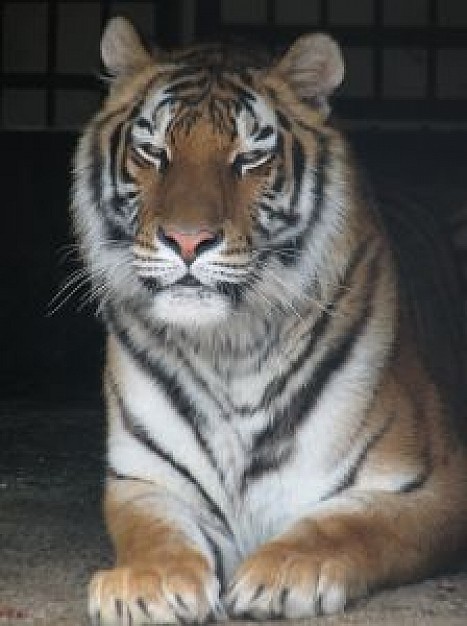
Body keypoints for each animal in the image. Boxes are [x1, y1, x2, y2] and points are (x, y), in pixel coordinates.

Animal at [71, 15, 466, 624]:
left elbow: (353, 526)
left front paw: (288, 572)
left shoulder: (430, 483)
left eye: (250, 158)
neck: (228, 349)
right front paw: (148, 584)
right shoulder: (146, 479)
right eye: (154, 151)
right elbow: (155, 534)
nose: (187, 240)